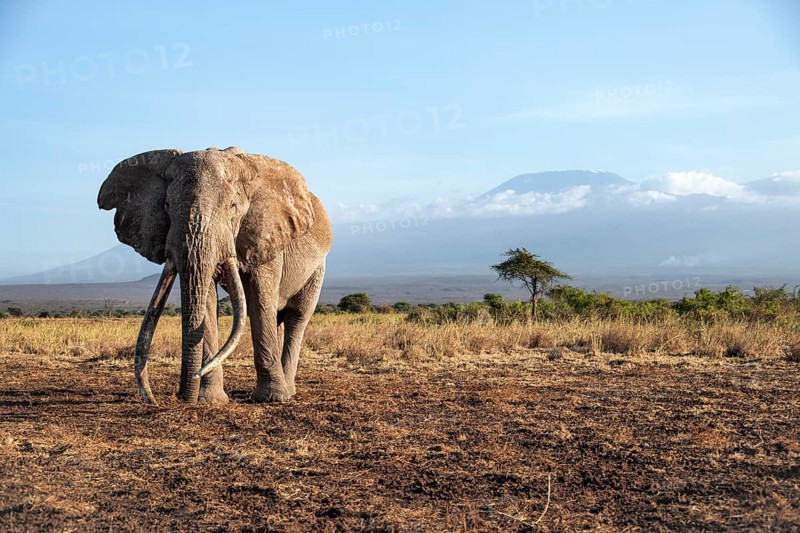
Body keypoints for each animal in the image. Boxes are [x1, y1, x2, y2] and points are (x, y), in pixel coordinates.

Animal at [97, 147, 332, 405]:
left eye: (233, 207)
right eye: (167, 205)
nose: (179, 397)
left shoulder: (267, 234)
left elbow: (259, 300)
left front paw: (272, 398)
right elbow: (207, 298)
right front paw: (208, 400)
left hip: (317, 269)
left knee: (297, 318)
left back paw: (288, 392)